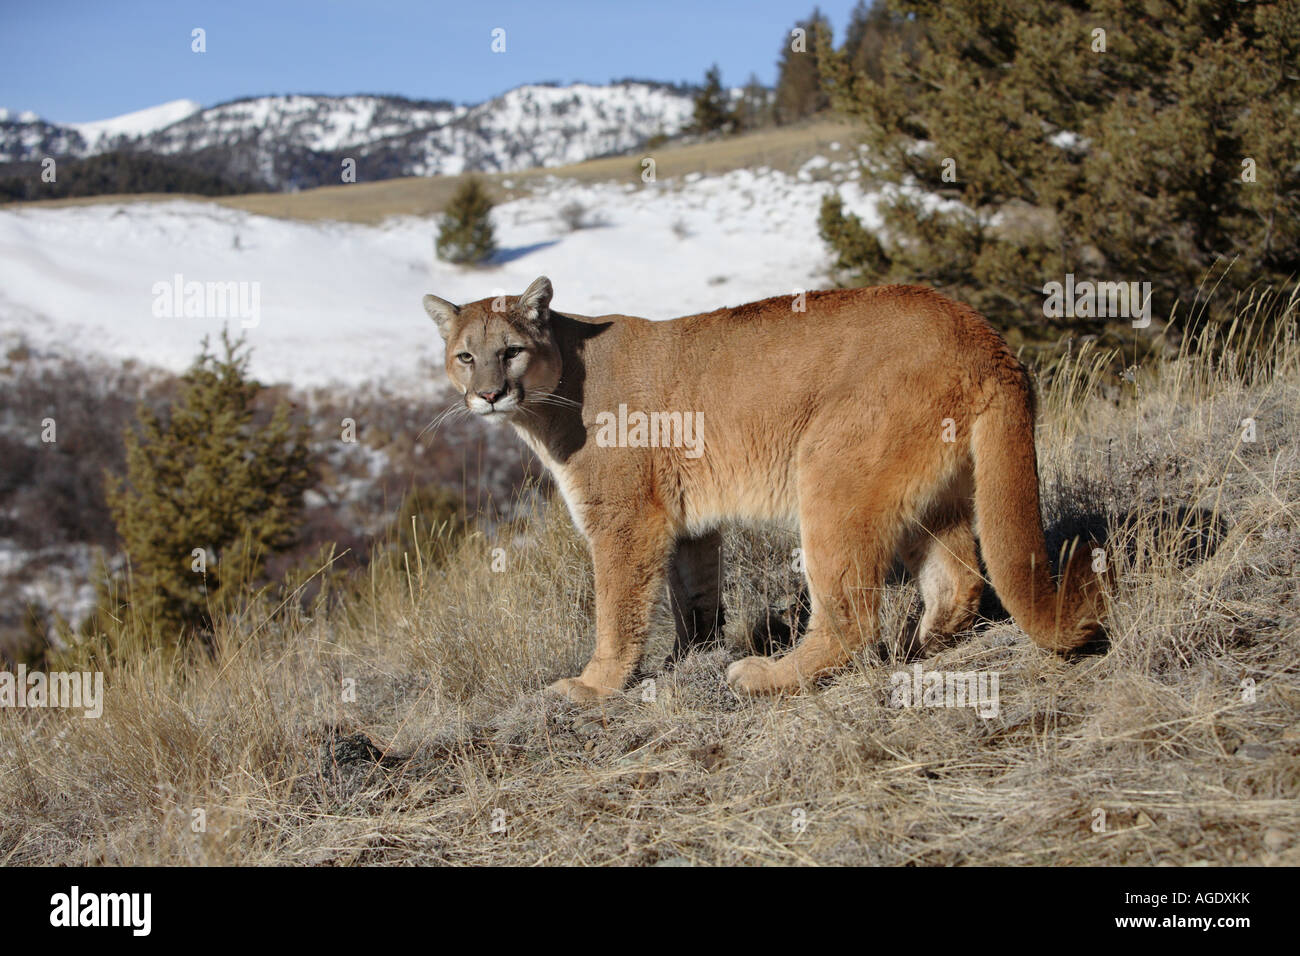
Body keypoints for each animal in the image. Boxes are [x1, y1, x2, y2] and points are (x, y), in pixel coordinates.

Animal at [422, 277, 1105, 700]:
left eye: (510, 350)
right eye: (464, 356)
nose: (488, 393)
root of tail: (982, 335)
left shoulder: (624, 518)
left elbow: (616, 610)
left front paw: (595, 686)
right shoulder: (685, 522)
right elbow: (693, 596)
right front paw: (686, 658)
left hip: (829, 468)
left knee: (853, 620)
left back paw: (767, 677)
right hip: (933, 491)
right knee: (958, 575)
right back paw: (925, 642)